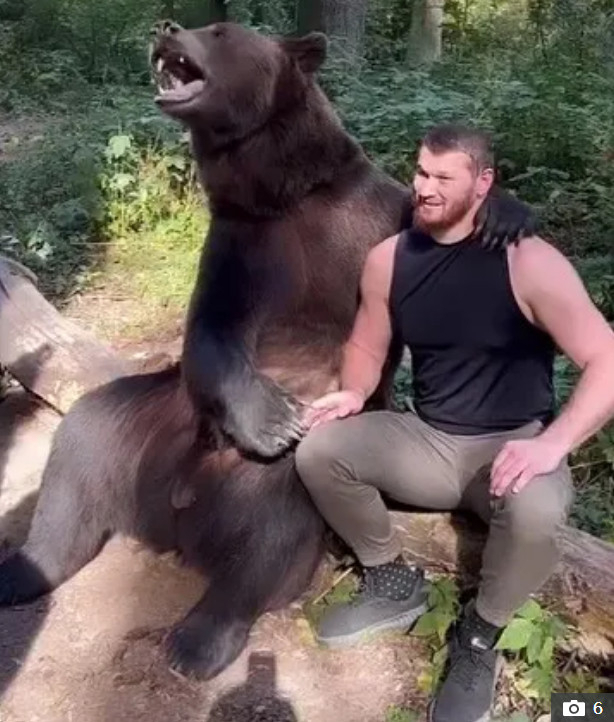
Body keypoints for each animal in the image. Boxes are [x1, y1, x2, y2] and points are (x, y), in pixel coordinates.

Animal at [0, 21, 535, 681]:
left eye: (219, 30)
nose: (166, 28)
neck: (284, 192)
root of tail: (171, 514)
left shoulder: (369, 223)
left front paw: (503, 212)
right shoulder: (245, 246)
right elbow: (210, 331)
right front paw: (272, 417)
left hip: (273, 477)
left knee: (269, 537)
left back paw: (196, 640)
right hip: (149, 417)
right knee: (78, 449)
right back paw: (23, 569)